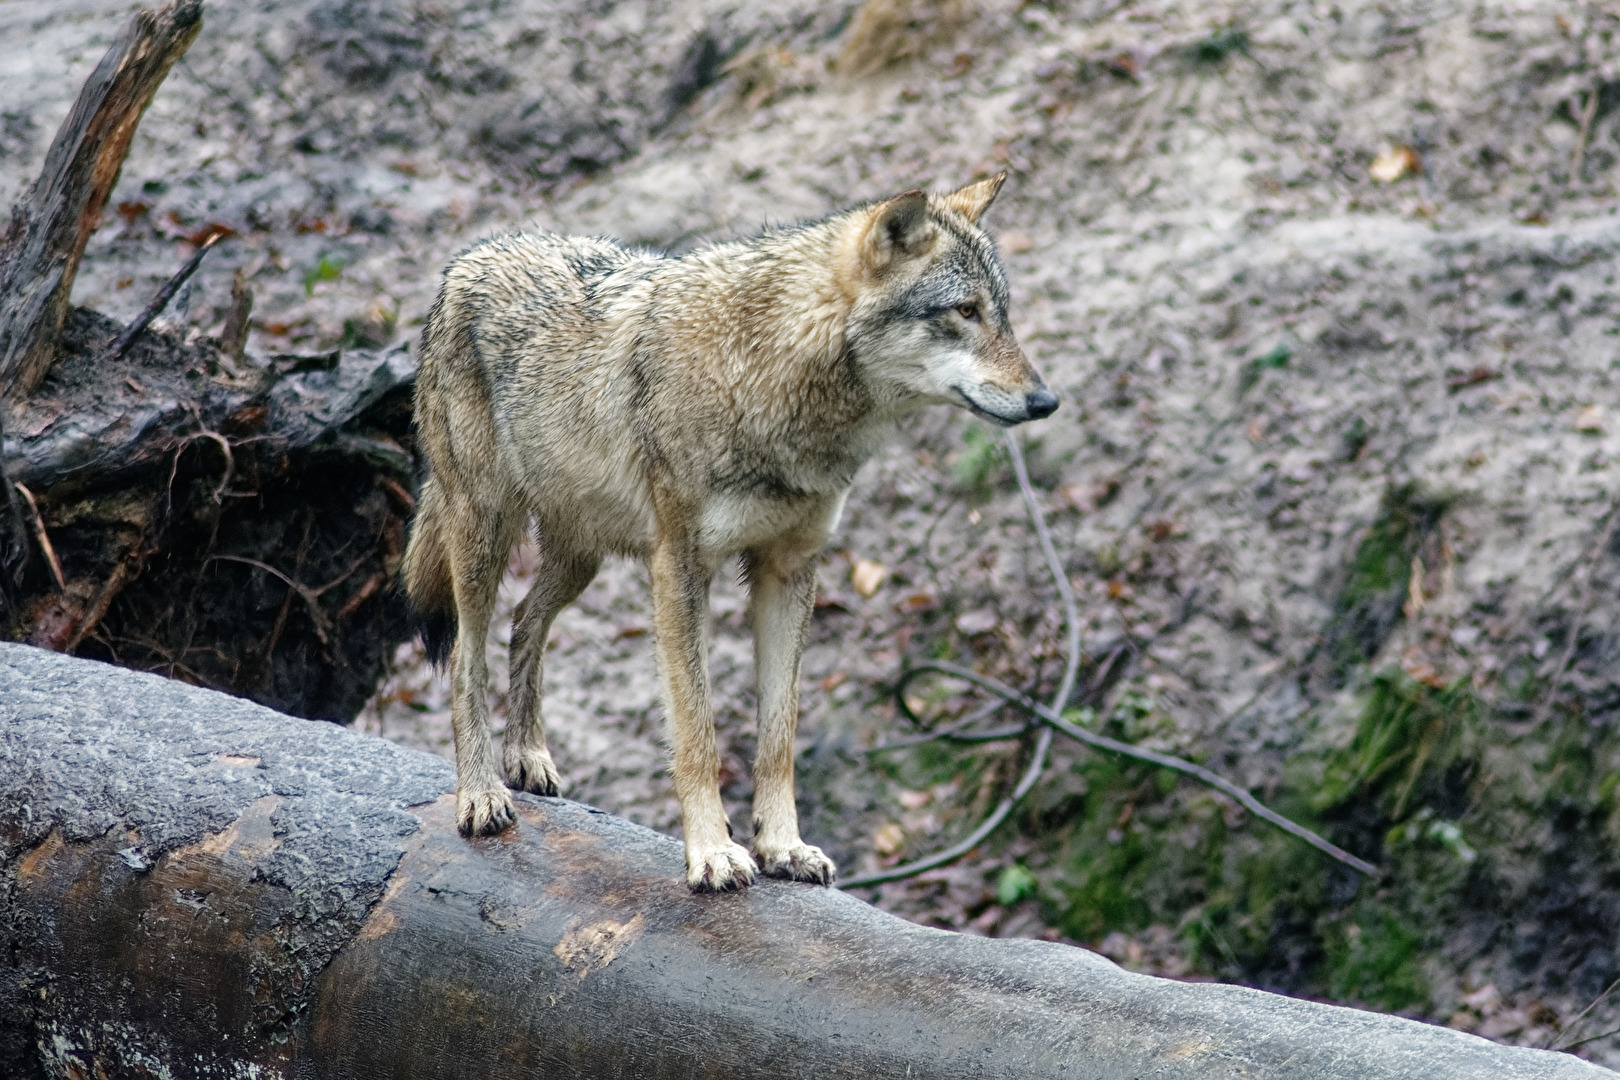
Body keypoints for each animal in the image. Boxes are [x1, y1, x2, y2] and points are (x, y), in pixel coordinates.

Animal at [402, 174, 1056, 892]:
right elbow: (698, 731)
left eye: (1002, 313)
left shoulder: (790, 569)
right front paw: (713, 853)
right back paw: (481, 793)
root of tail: (470, 258)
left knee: (526, 623)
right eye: (965, 311)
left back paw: (527, 756)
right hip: (485, 536)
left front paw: (782, 846)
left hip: (581, 558)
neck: (773, 373)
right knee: (468, 659)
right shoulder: (679, 570)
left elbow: (778, 733)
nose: (1047, 402)